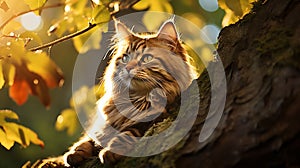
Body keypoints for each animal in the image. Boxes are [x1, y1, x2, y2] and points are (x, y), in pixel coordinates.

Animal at [62, 19, 196, 166]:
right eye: (125, 58)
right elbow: (87, 141)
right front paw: (75, 153)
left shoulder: (153, 121)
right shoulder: (101, 128)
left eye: (147, 58)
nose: (128, 68)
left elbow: (126, 134)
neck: (134, 99)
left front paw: (110, 151)